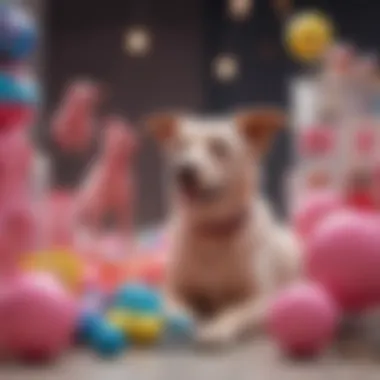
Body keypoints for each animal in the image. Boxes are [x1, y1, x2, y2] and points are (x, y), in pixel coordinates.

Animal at [147, 107, 302, 348]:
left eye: (219, 147)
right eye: (180, 146)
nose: (183, 171)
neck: (213, 233)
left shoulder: (260, 298)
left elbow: (232, 311)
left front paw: (216, 328)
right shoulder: (172, 290)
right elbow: (177, 309)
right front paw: (185, 321)